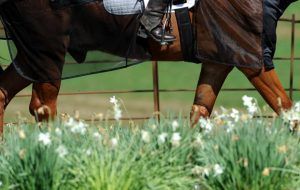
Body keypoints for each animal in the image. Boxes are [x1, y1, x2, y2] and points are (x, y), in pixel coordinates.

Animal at [0, 0, 292, 134]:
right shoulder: (253, 61)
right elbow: (289, 110)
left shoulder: (218, 62)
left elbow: (199, 113)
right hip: (47, 50)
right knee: (43, 108)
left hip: (33, 54)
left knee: (4, 95)